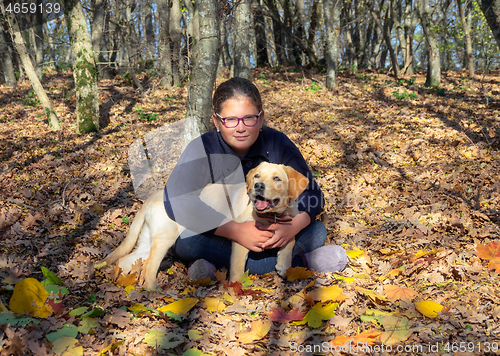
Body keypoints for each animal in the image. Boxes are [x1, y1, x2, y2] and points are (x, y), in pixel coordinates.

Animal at [104, 162, 308, 290]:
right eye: (257, 175)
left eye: (277, 178)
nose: (257, 185)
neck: (270, 217)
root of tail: (151, 198)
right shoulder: (242, 241)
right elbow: (237, 268)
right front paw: (236, 290)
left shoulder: (288, 224)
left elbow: (291, 239)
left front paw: (284, 265)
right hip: (166, 236)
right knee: (149, 265)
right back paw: (153, 291)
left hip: (149, 240)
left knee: (126, 259)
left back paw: (121, 279)